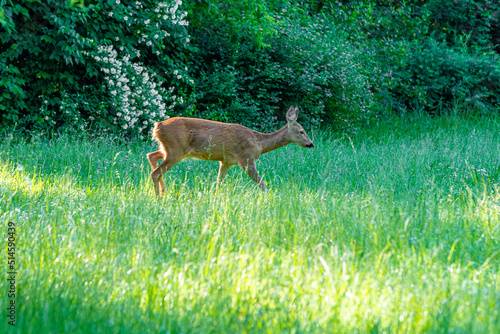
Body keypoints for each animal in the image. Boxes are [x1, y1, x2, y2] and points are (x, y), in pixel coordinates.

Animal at [146, 106, 314, 196]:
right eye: (301, 131)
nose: (311, 144)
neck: (259, 142)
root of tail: (158, 126)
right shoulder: (246, 158)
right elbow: (261, 184)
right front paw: (270, 197)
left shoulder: (226, 161)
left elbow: (218, 182)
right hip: (176, 150)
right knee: (155, 173)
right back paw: (158, 197)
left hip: (168, 149)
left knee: (151, 156)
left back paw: (163, 191)